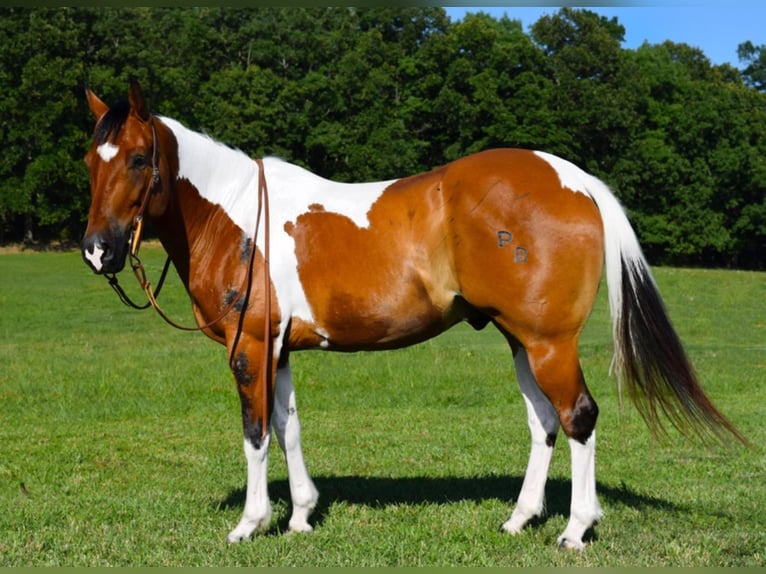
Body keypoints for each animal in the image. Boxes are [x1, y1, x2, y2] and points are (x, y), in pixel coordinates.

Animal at [81, 82, 748, 552]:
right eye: (91, 160)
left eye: (138, 158)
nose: (97, 250)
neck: (240, 216)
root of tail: (576, 179)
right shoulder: (280, 349)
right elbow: (289, 427)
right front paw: (301, 516)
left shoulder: (248, 349)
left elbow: (256, 432)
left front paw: (252, 523)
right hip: (521, 341)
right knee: (544, 422)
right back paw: (518, 519)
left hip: (549, 342)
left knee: (577, 417)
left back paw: (575, 529)